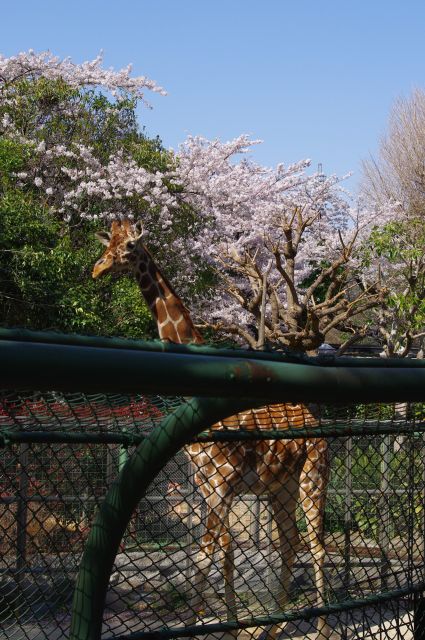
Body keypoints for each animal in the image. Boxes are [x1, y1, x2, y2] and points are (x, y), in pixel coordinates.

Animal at [93, 220, 332, 640]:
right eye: (110, 245)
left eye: (130, 247)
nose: (97, 268)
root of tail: (317, 425)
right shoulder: (207, 486)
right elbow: (222, 549)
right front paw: (230, 625)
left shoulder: (222, 483)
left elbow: (206, 552)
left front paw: (197, 625)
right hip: (281, 488)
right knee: (290, 543)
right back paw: (273, 628)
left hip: (311, 477)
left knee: (317, 545)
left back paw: (319, 628)